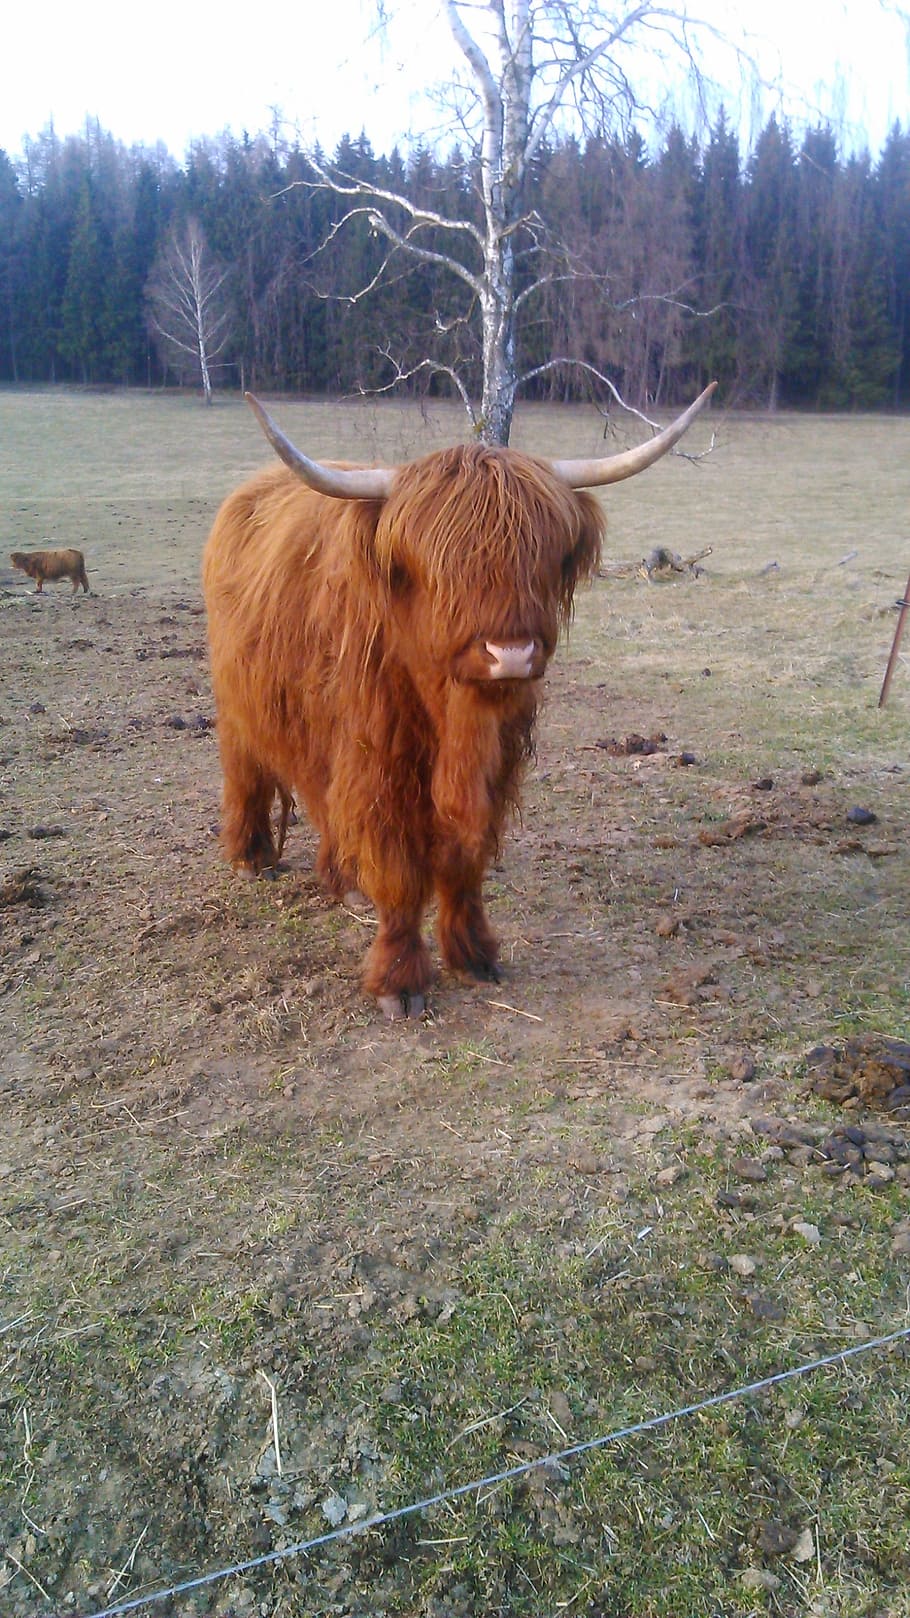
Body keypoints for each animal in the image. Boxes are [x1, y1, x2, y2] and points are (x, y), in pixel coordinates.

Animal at [203, 385, 716, 1018]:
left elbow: (464, 862)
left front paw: (473, 954)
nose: (511, 652)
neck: (453, 719)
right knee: (245, 772)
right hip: (238, 706)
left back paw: (342, 878)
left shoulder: (496, 763)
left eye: (544, 556)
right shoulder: (378, 764)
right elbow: (397, 871)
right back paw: (251, 858)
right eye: (440, 565)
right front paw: (399, 981)